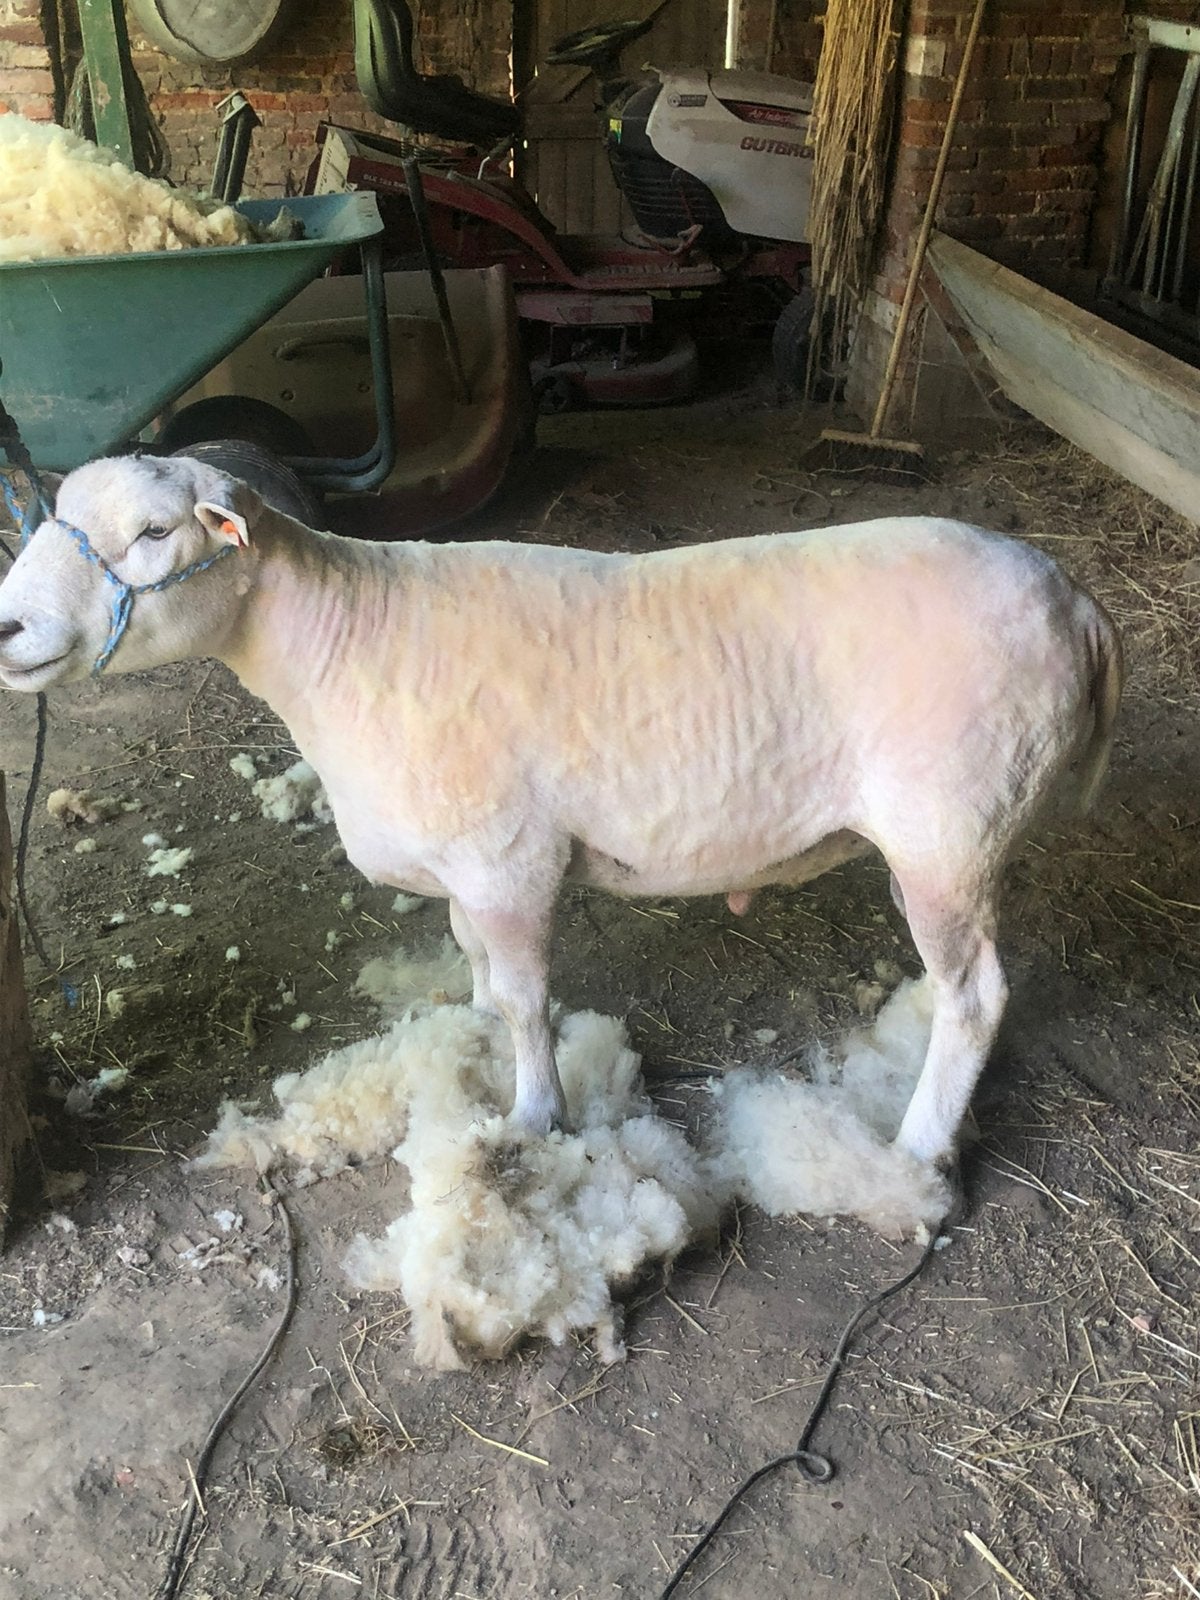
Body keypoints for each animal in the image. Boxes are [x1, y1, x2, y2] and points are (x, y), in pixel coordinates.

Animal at [0, 454, 1122, 1198]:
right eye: (51, 514)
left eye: (156, 534)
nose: (7, 625)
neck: (338, 641)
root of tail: (1078, 600)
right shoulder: (466, 872)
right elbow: (484, 977)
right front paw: (485, 1053)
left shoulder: (509, 861)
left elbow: (529, 1001)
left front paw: (535, 1117)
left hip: (952, 826)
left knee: (975, 995)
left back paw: (918, 1147)